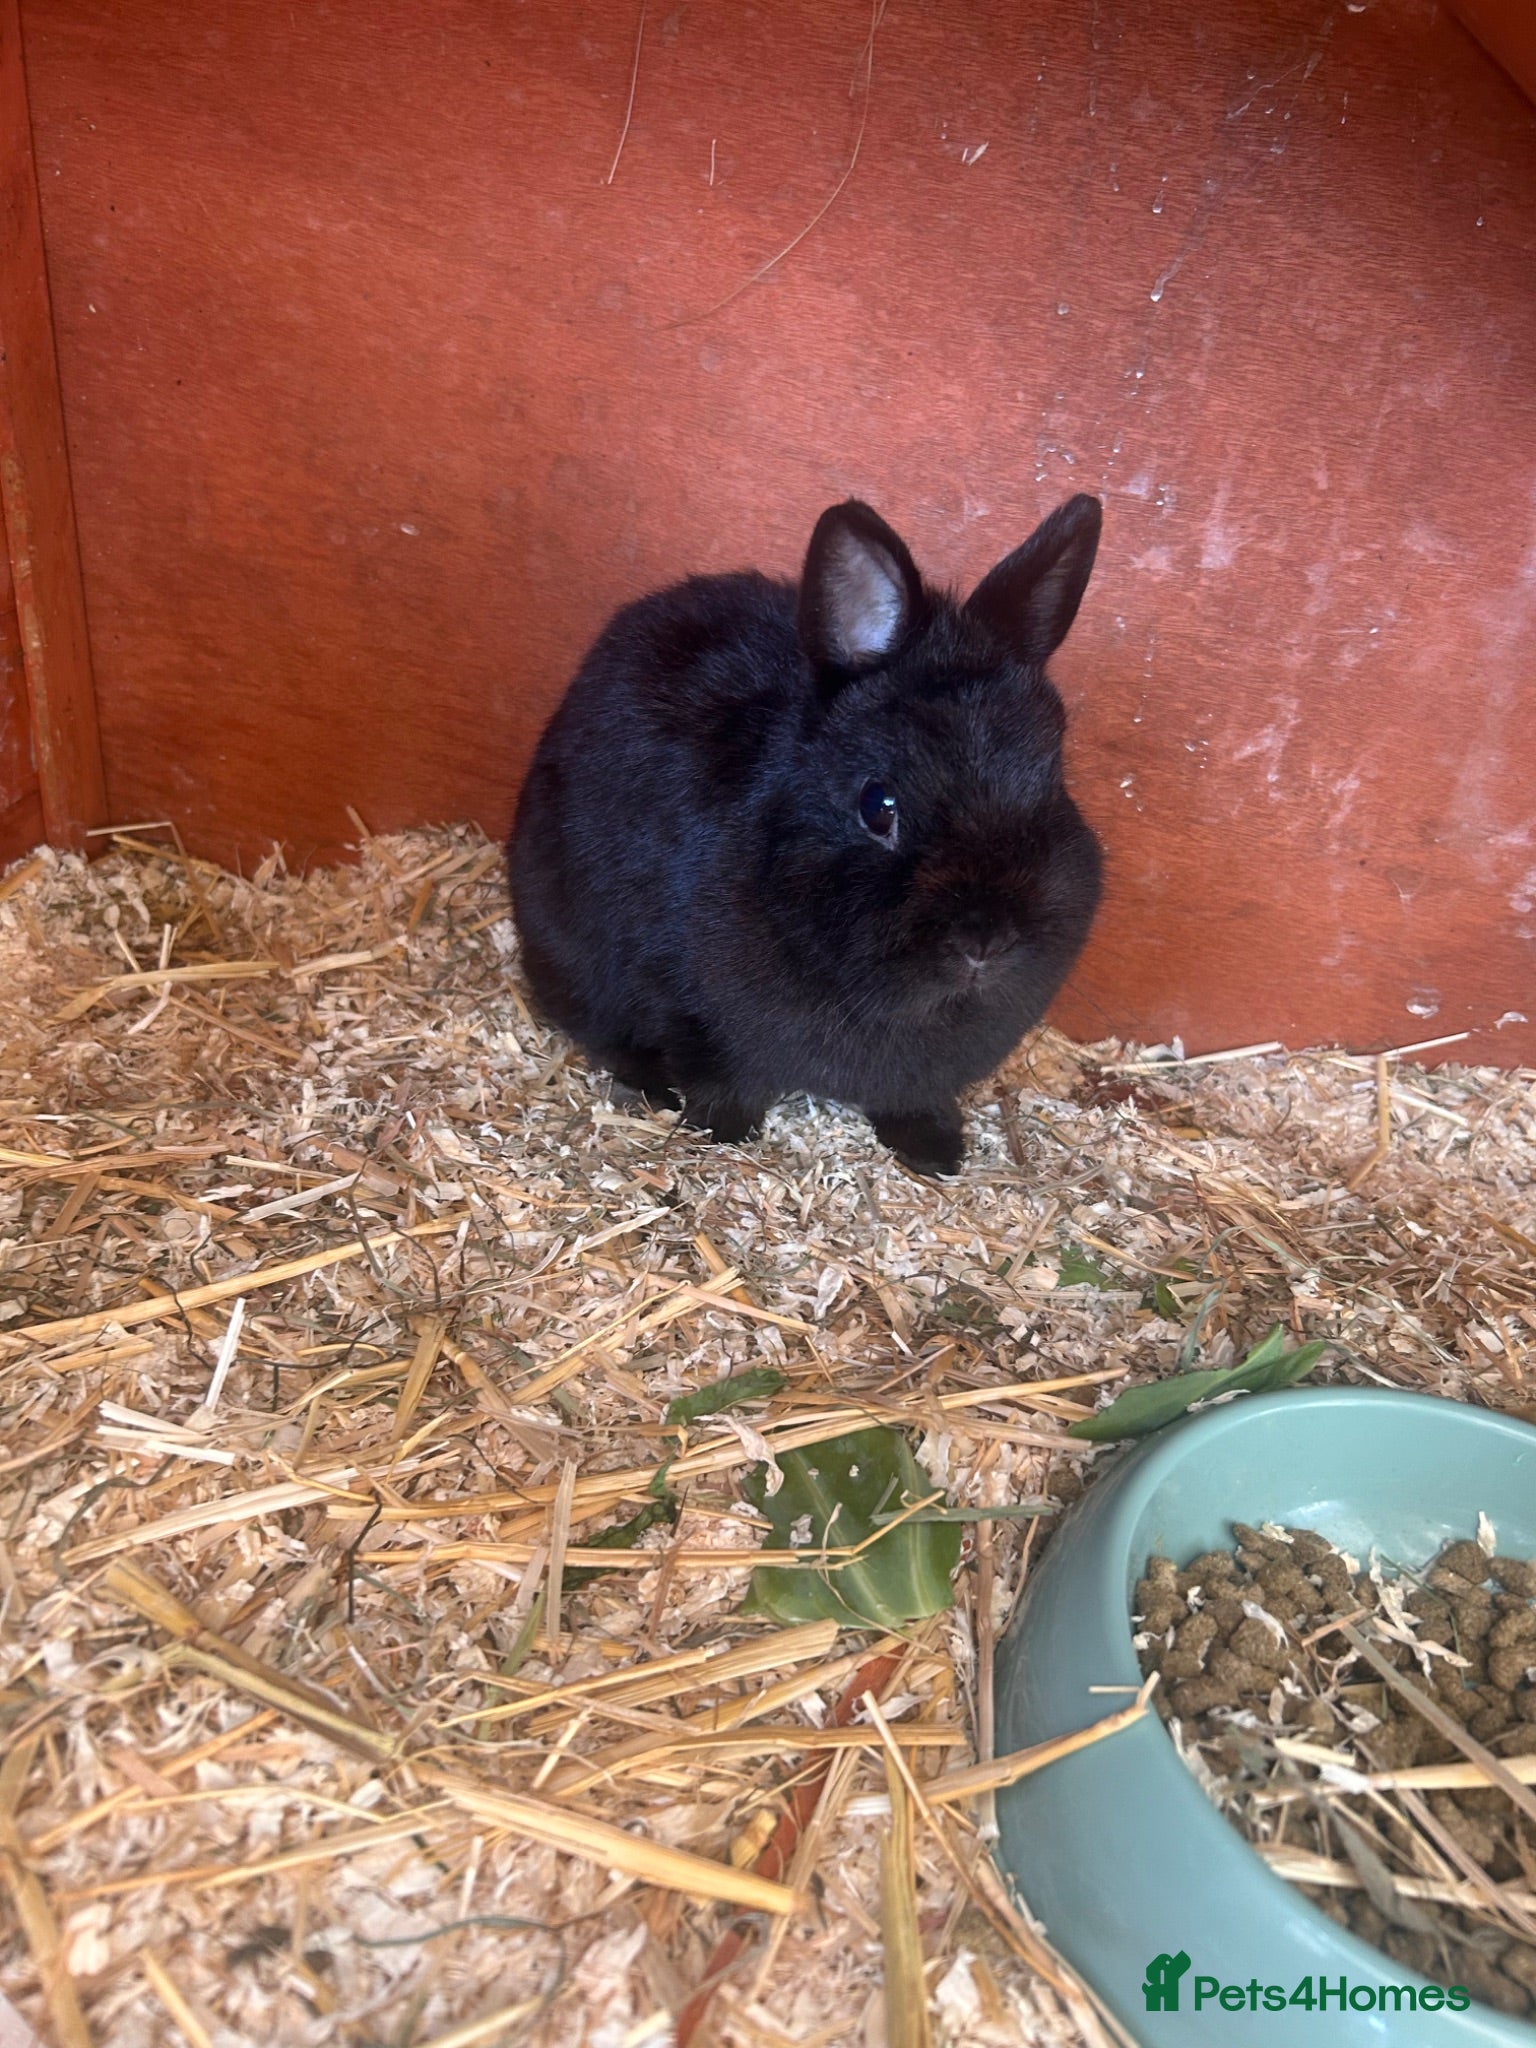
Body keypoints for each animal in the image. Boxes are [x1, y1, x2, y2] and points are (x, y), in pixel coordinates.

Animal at [508, 492, 1104, 1177]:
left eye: (1052, 783)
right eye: (877, 805)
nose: (985, 941)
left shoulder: (922, 1077)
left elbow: (914, 1100)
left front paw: (937, 1154)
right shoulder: (691, 1011)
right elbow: (721, 1081)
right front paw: (724, 1134)